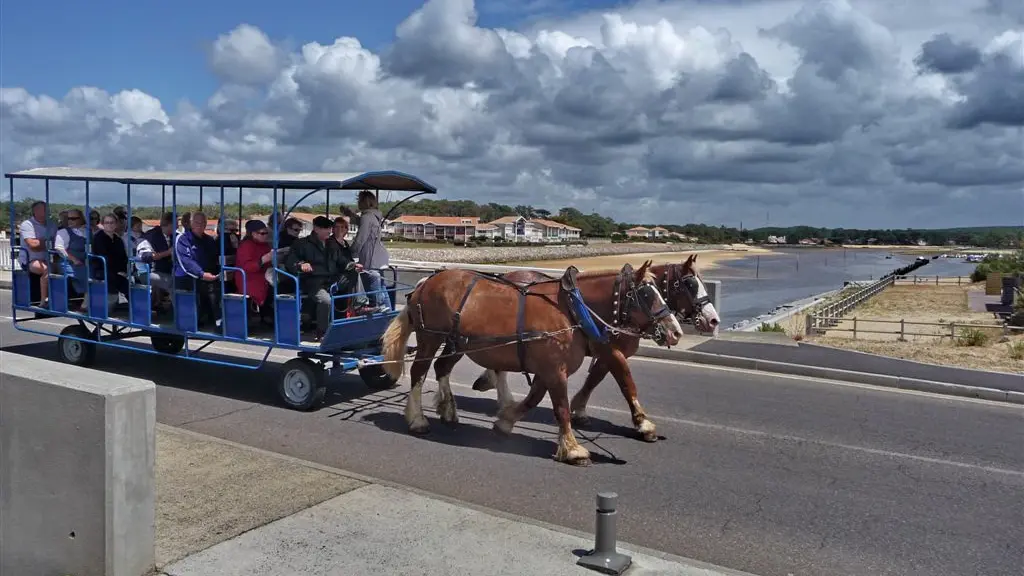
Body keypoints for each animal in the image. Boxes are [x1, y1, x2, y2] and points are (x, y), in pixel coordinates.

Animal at [380, 259, 684, 461]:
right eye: (646, 293)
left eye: (661, 291)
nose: (675, 331)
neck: (573, 309)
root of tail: (426, 282)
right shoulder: (555, 368)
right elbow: (561, 406)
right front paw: (573, 448)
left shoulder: (550, 366)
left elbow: (535, 398)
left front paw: (505, 421)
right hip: (429, 338)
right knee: (419, 373)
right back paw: (418, 419)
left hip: (458, 342)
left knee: (441, 368)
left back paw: (449, 411)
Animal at [468, 254, 716, 438]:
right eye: (690, 284)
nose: (713, 320)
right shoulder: (610, 350)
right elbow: (626, 381)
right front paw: (642, 422)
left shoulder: (606, 351)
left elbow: (595, 378)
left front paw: (579, 409)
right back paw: (503, 400)